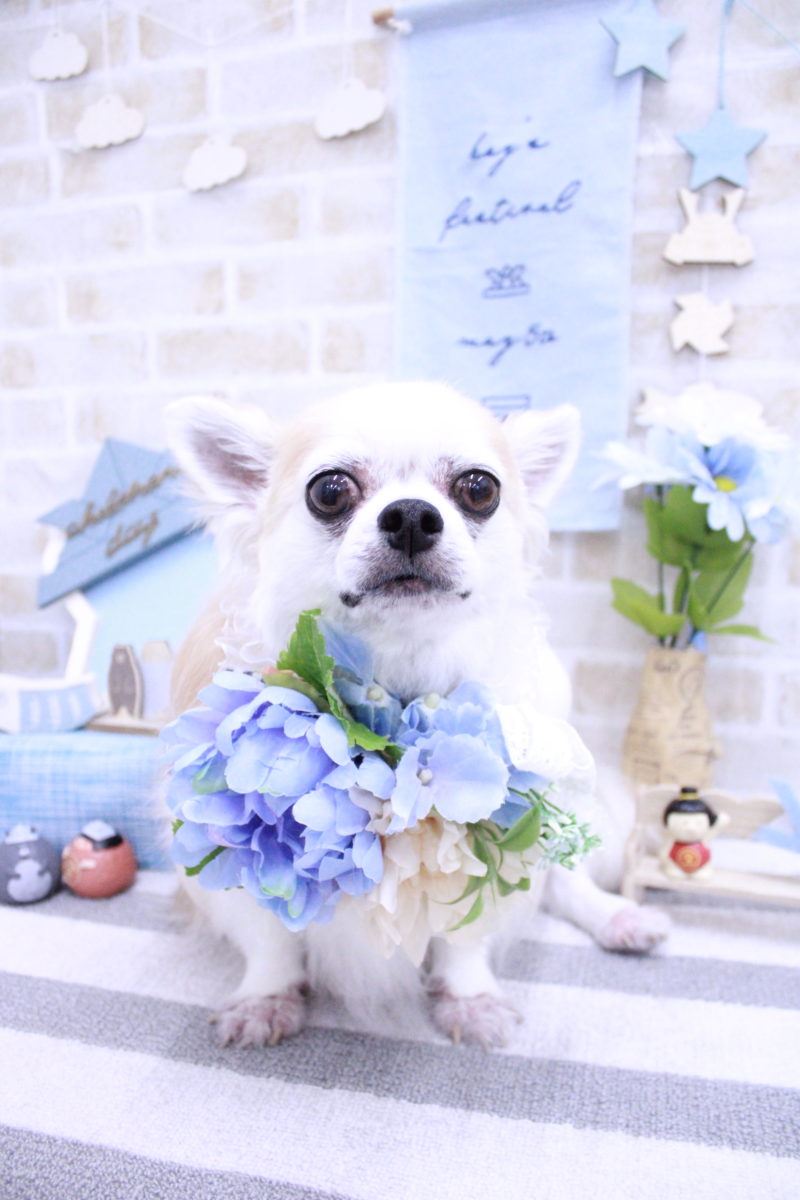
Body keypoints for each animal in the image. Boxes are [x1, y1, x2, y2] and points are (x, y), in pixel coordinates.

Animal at [165, 381, 668, 1049]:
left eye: (479, 489)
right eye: (330, 490)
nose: (410, 515)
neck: (397, 684)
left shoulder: (493, 842)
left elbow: (466, 933)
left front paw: (470, 997)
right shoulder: (234, 853)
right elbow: (269, 935)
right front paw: (265, 997)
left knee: (566, 882)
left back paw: (618, 917)